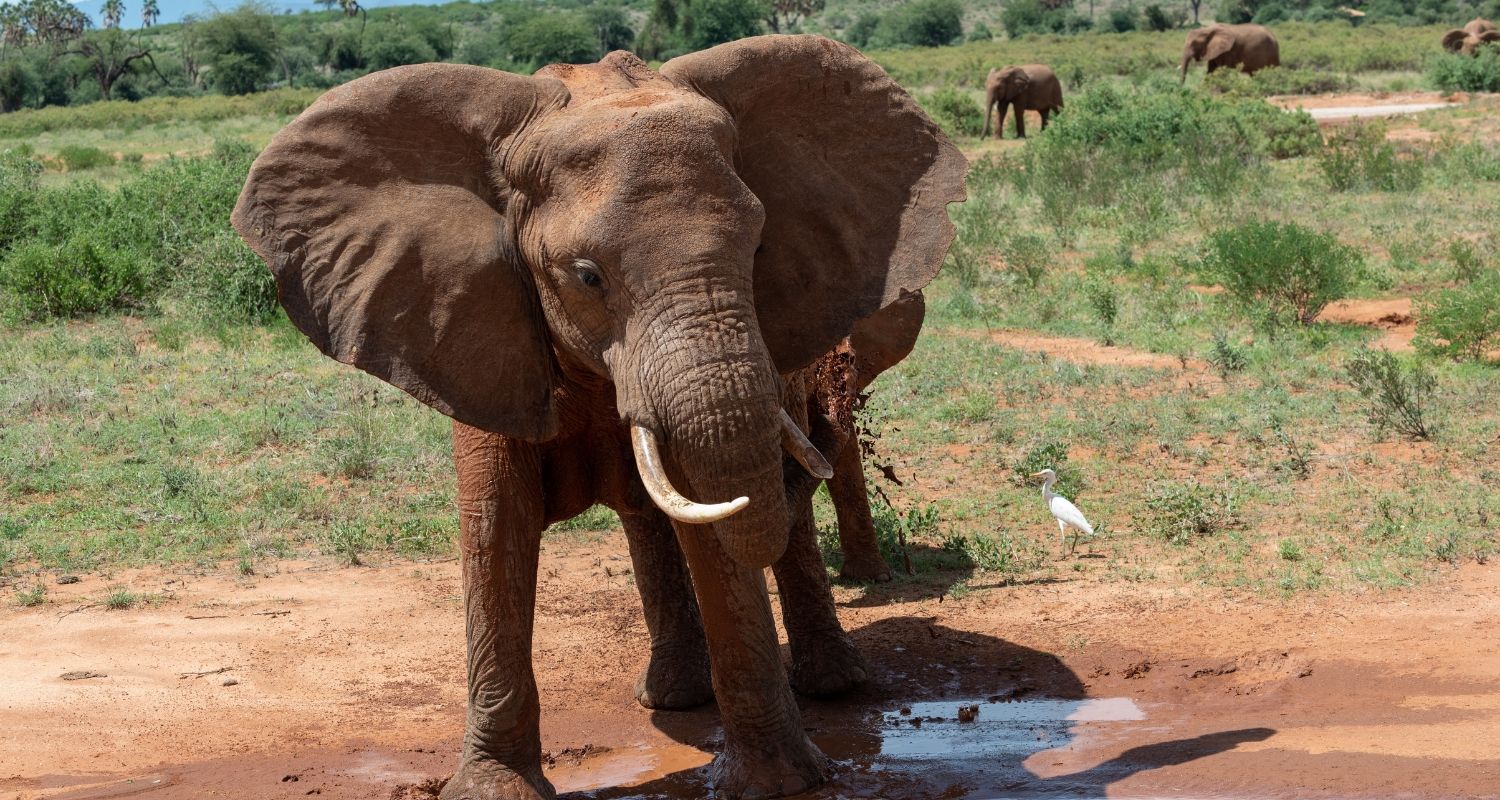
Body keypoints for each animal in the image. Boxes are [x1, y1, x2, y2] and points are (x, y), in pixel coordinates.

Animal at [231, 35, 965, 800]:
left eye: (760, 249)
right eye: (587, 276)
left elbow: (714, 521)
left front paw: (779, 786)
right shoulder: (477, 323)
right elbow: (496, 522)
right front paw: (494, 790)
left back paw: (829, 688)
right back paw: (675, 697)